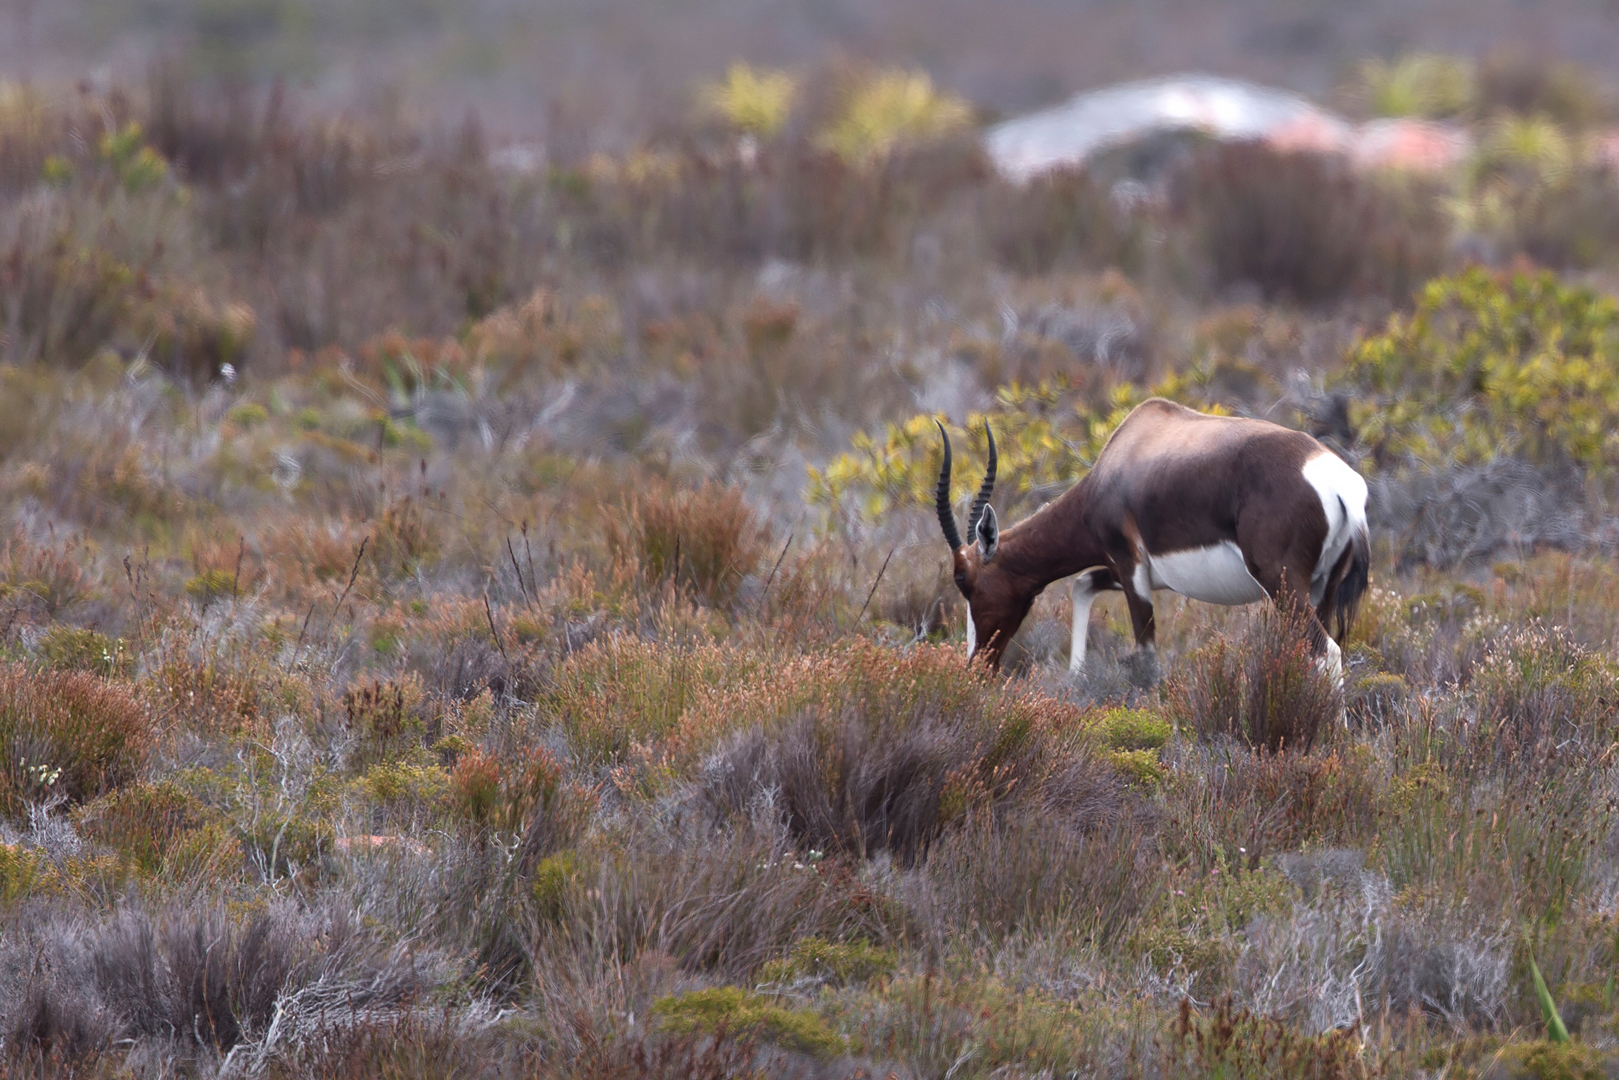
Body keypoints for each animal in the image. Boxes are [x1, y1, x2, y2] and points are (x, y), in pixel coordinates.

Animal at [939, 401, 1366, 680]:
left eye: (963, 579)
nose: (977, 664)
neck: (1123, 454)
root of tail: (1341, 485)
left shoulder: (1130, 569)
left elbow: (1145, 655)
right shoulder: (1143, 573)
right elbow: (1082, 585)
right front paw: (1076, 678)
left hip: (1282, 584)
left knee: (1326, 651)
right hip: (1320, 589)